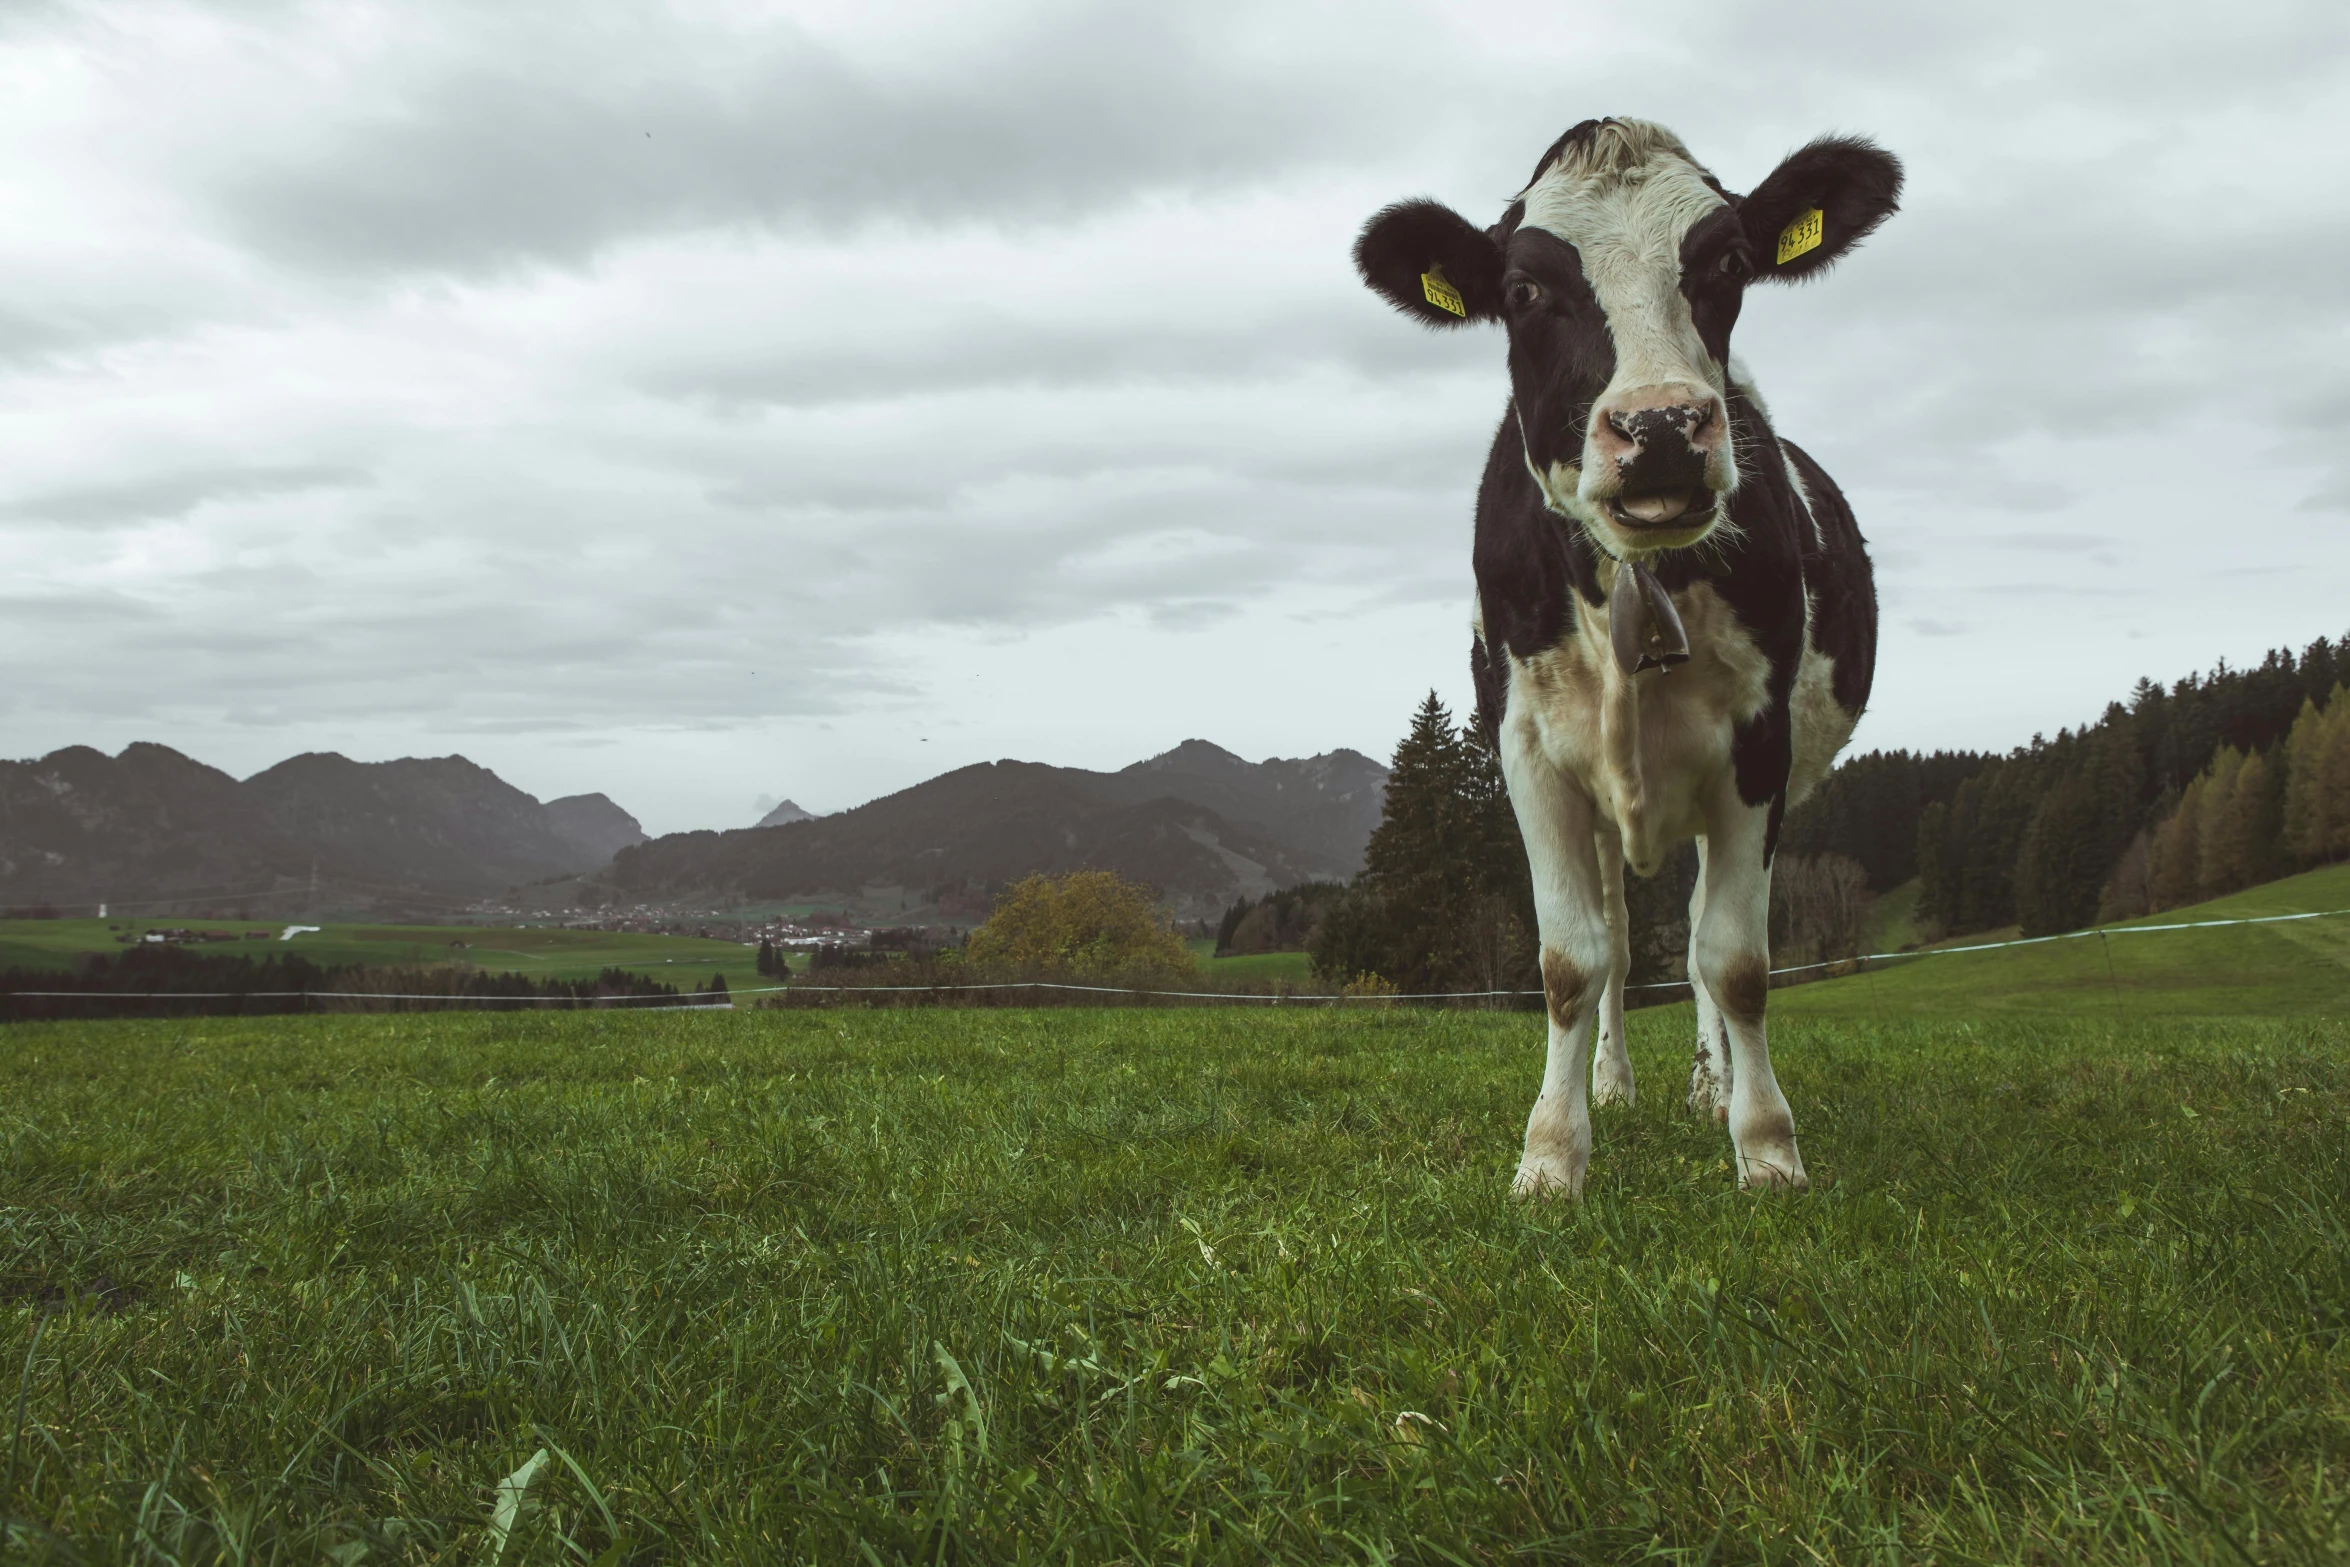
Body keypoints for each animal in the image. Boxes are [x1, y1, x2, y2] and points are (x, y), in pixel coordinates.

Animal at [1353, 119, 1898, 1202]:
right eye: (1524, 289)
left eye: (1726, 262)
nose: (1660, 429)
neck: (1633, 578)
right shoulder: (1526, 749)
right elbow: (1571, 961)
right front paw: (1552, 1156)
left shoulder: (1758, 752)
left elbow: (1734, 961)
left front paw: (1765, 1145)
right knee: (1613, 922)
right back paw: (1613, 1083)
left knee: (1690, 939)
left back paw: (1707, 1088)